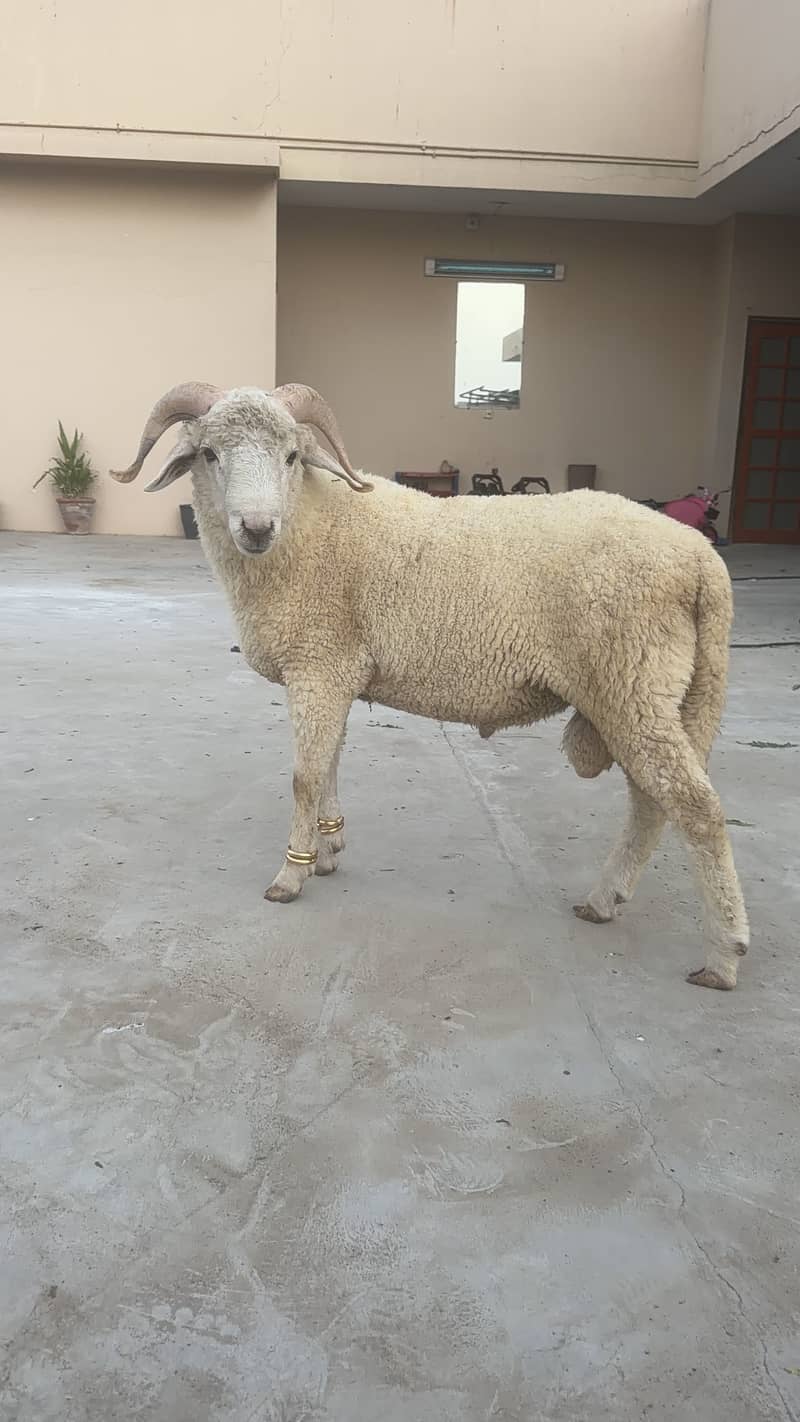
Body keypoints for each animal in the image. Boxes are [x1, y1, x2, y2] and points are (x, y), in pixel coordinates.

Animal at [111, 382, 749, 991]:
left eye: (291, 455)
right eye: (210, 454)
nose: (256, 528)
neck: (307, 528)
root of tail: (702, 560)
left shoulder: (317, 665)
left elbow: (304, 777)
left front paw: (290, 875)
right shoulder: (335, 671)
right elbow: (330, 763)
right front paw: (327, 851)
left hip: (631, 684)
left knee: (695, 808)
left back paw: (723, 954)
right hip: (654, 693)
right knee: (652, 803)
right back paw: (604, 900)